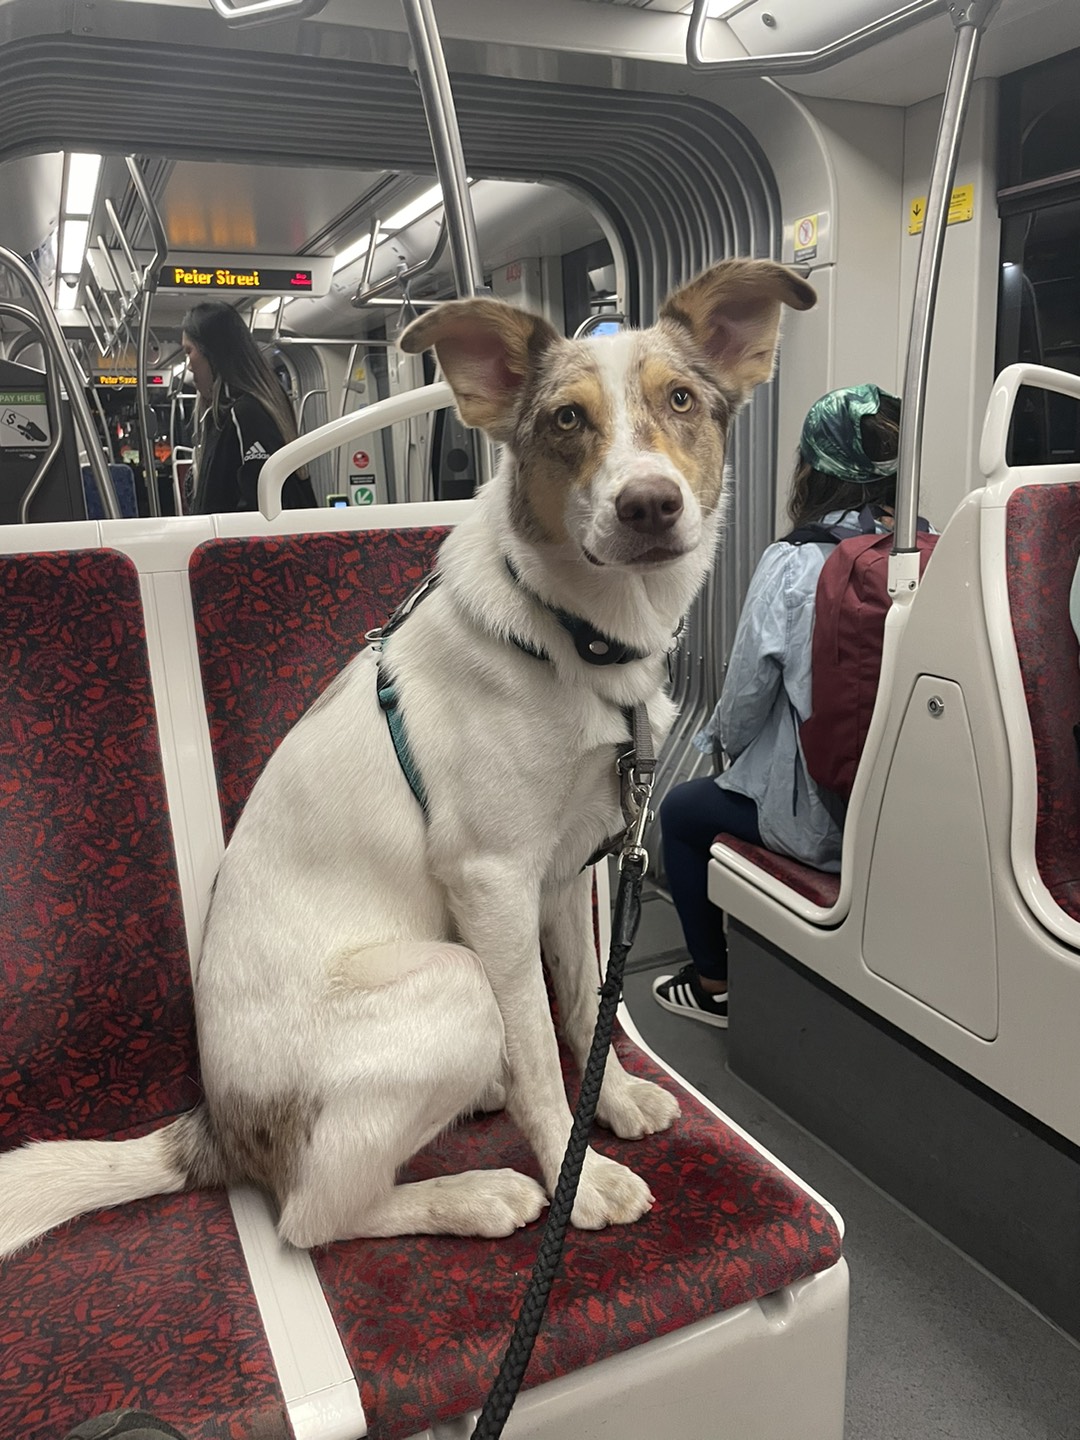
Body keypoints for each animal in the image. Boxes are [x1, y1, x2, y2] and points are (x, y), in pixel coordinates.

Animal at [0, 259, 814, 1255]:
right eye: (565, 420)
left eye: (684, 399)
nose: (650, 504)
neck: (576, 639)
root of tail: (218, 1131)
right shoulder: (491, 881)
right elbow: (540, 1052)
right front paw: (577, 1177)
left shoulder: (560, 876)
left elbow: (584, 1005)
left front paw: (613, 1103)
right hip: (453, 983)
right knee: (314, 1215)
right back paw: (475, 1194)